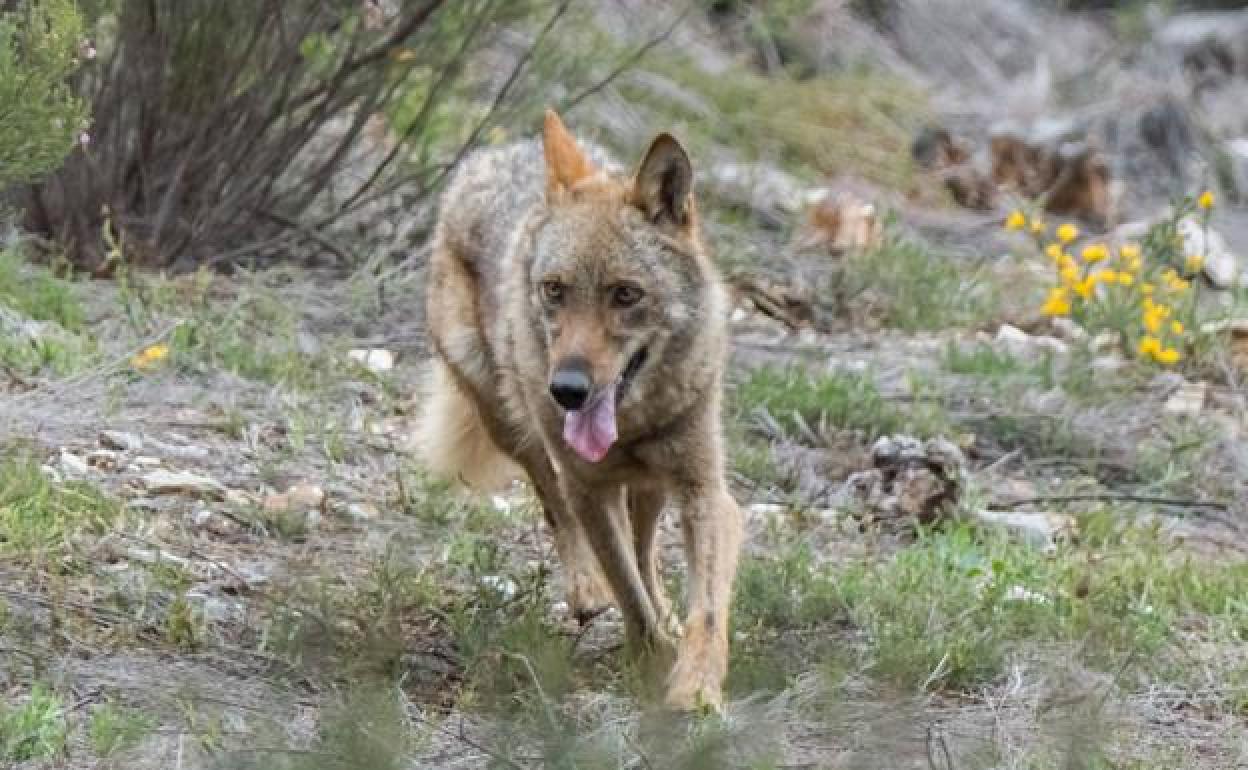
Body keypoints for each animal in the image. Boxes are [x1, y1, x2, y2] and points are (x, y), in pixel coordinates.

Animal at [421, 107, 738, 708]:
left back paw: (666, 616)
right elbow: (627, 591)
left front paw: (694, 690)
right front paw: (650, 660)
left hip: (650, 487)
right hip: (513, 425)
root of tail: (493, 155)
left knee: (645, 550)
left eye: (625, 294)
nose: (566, 389)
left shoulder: (704, 491)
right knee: (555, 504)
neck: (634, 424)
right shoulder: (588, 487)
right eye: (555, 290)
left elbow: (704, 609)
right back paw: (588, 592)